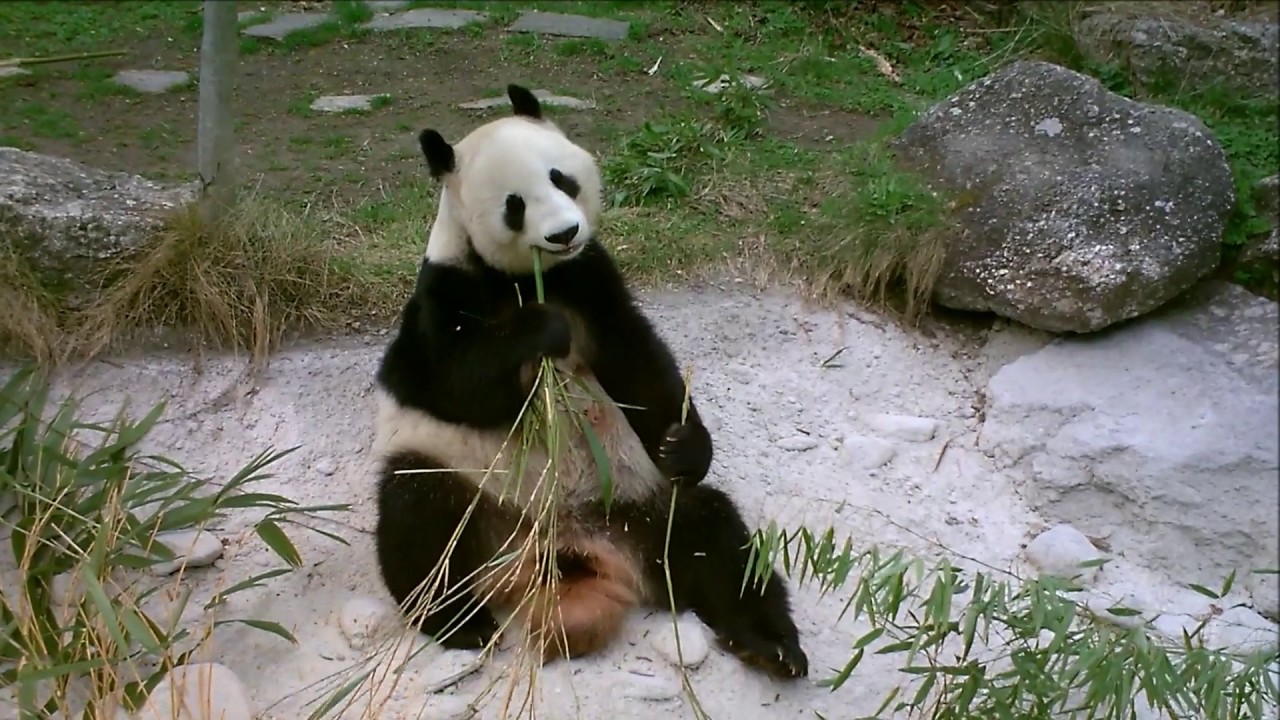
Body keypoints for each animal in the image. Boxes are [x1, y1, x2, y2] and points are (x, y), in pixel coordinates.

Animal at [373, 82, 808, 676]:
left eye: (561, 178)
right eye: (514, 204)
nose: (564, 233)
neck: (527, 276)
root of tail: (565, 552)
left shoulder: (589, 277)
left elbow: (637, 363)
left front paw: (683, 445)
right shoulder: (446, 290)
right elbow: (448, 380)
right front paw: (540, 331)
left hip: (638, 507)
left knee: (715, 540)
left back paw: (770, 644)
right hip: (470, 487)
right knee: (419, 517)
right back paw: (460, 621)